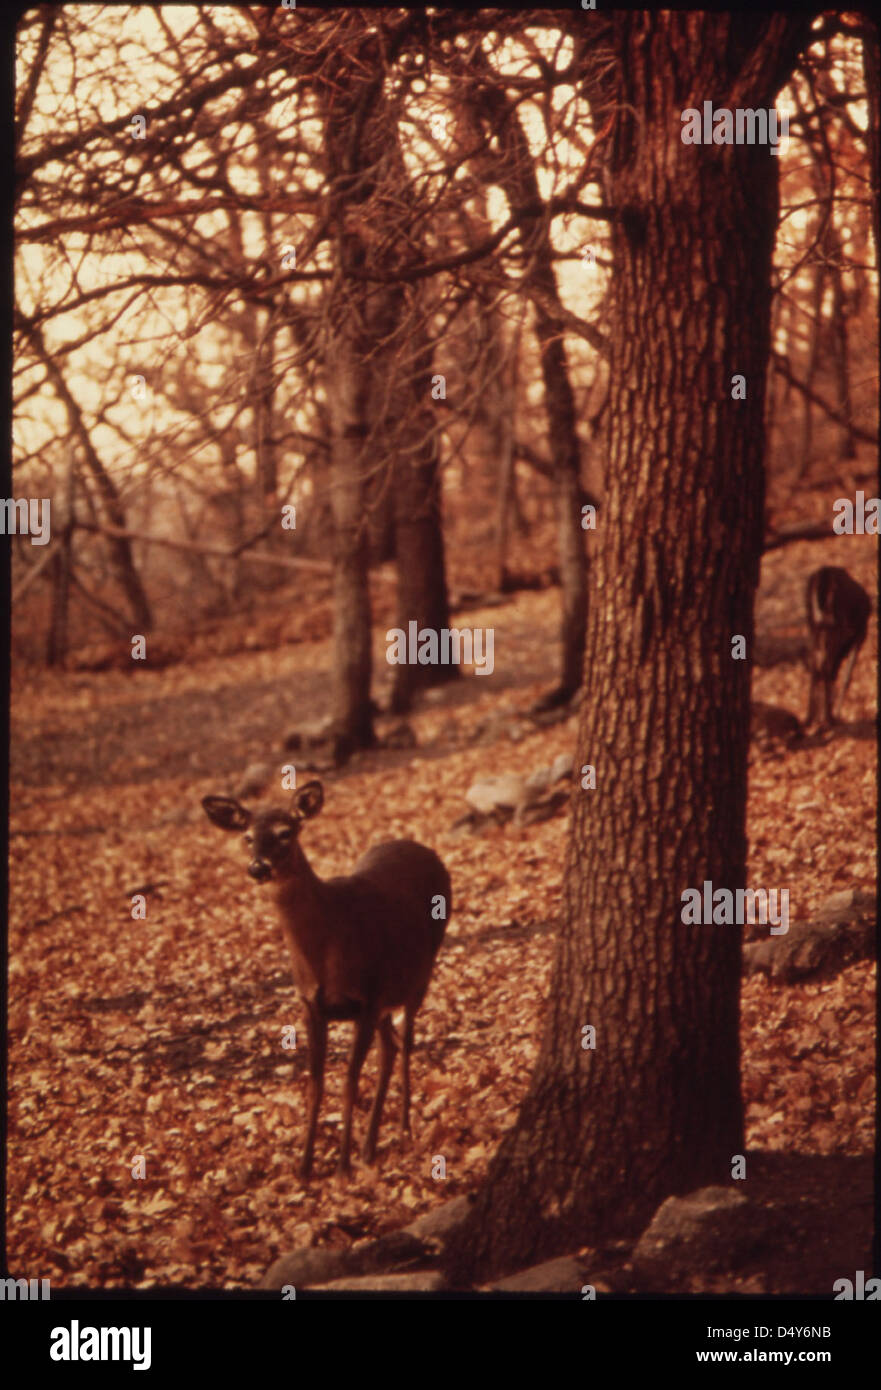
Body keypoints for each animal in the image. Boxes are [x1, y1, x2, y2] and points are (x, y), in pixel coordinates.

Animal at [201, 778, 450, 1178]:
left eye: (285, 832)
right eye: (246, 836)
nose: (257, 868)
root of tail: (423, 848)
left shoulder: (367, 998)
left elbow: (348, 1082)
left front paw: (342, 1164)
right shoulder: (311, 1005)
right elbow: (315, 1085)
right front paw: (305, 1165)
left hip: (419, 974)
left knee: (406, 1043)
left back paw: (402, 1129)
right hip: (387, 995)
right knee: (390, 1047)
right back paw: (370, 1145)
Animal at [805, 564, 867, 728]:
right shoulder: (860, 634)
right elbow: (846, 677)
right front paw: (836, 715)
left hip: (815, 624)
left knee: (817, 666)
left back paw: (810, 719)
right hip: (834, 624)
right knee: (826, 666)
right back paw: (829, 718)